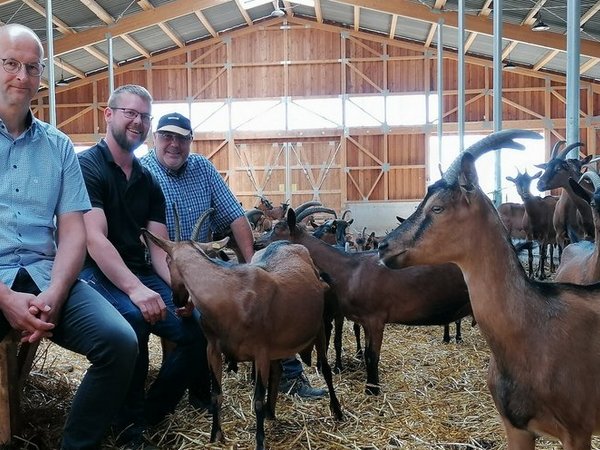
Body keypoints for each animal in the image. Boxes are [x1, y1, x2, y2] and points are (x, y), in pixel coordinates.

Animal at [141, 230, 344, 448]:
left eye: (167, 260)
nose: (177, 300)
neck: (230, 296)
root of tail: (288, 244)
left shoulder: (261, 351)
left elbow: (257, 400)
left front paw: (260, 442)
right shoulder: (213, 349)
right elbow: (216, 394)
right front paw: (215, 436)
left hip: (319, 327)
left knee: (325, 368)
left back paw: (337, 411)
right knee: (278, 370)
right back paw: (271, 413)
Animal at [255, 210, 472, 394]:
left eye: (278, 228)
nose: (257, 242)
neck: (349, 269)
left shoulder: (376, 318)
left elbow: (372, 355)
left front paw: (373, 389)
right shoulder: (365, 320)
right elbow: (367, 354)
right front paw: (370, 385)